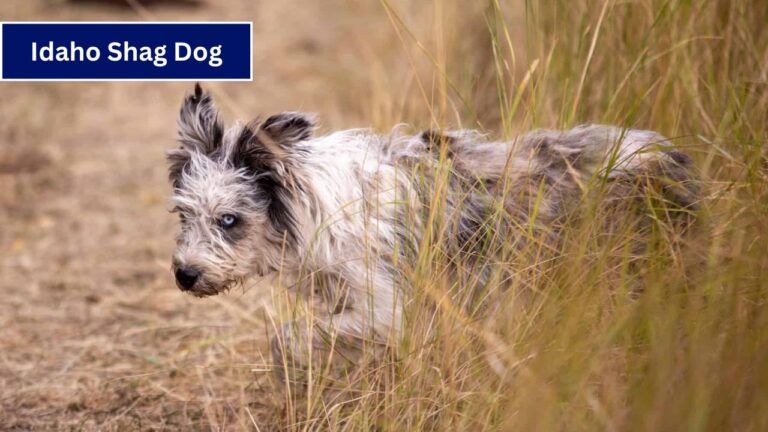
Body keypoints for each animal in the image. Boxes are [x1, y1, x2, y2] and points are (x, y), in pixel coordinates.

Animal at [166, 83, 696, 378]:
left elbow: (291, 335)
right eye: (183, 216)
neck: (315, 207)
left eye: (229, 220)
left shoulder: (386, 309)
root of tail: (667, 154)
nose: (184, 275)